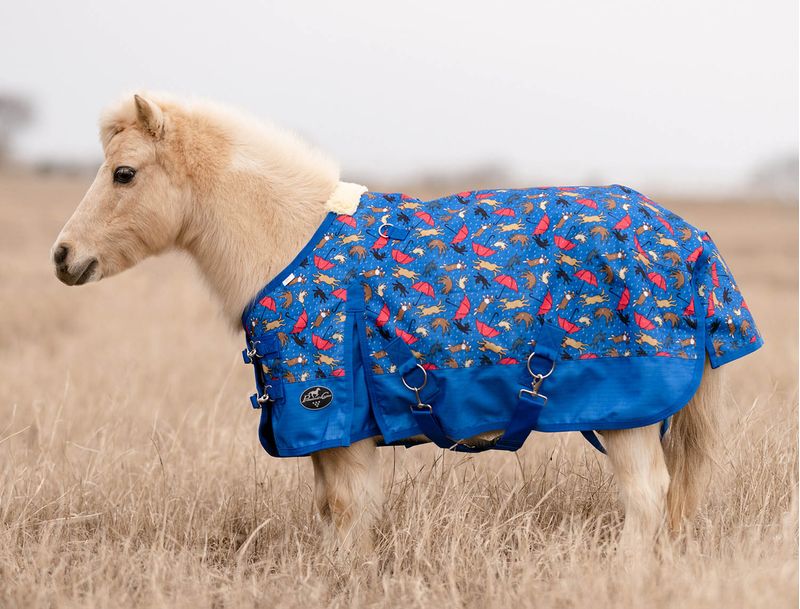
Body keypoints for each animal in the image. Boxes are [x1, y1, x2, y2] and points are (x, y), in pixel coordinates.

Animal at [52, 92, 723, 553]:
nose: (63, 256)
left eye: (124, 173)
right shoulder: (323, 435)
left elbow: (352, 513)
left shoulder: (338, 423)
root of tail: (687, 237)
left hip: (628, 417)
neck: (291, 242)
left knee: (646, 497)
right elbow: (331, 511)